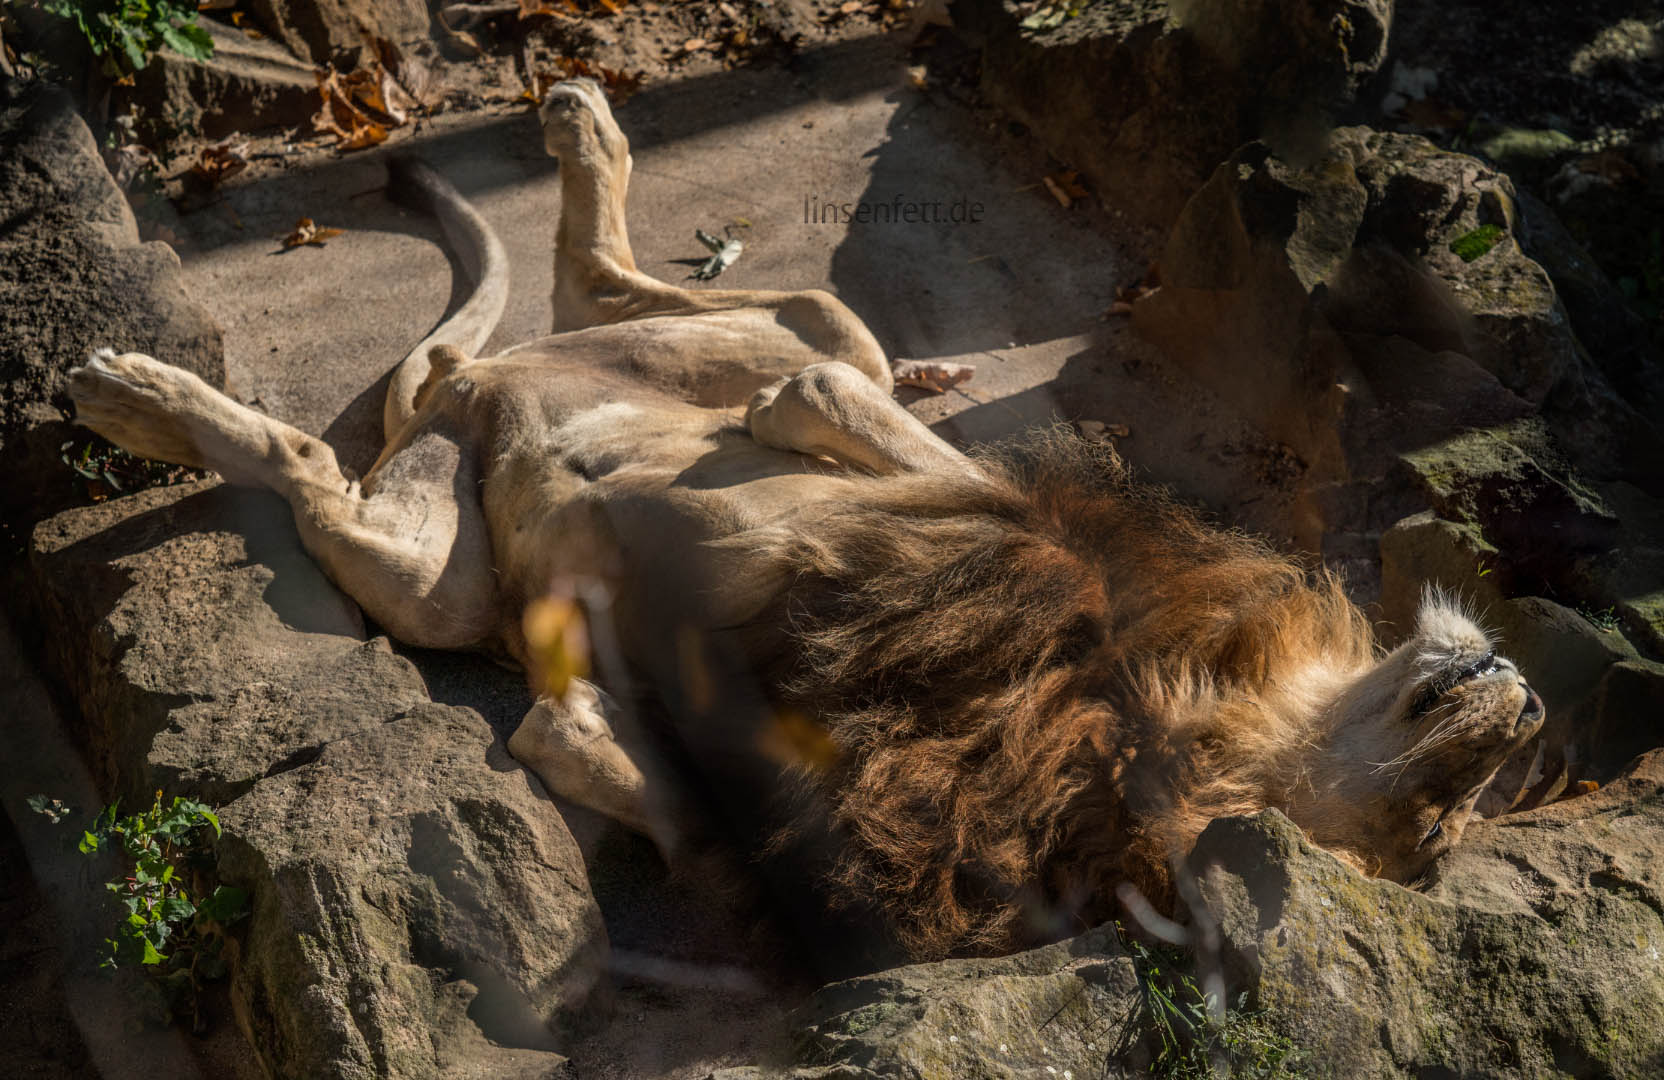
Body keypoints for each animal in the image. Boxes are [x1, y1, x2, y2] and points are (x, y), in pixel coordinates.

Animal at [64, 79, 1544, 965]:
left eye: (1431, 839)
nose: (1525, 702)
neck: (1180, 706)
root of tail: (474, 385)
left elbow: (642, 783)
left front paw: (578, 739)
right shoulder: (972, 518)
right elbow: (899, 441)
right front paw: (800, 419)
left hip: (432, 574)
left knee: (319, 454)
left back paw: (131, 396)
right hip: (773, 322)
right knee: (672, 303)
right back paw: (589, 131)